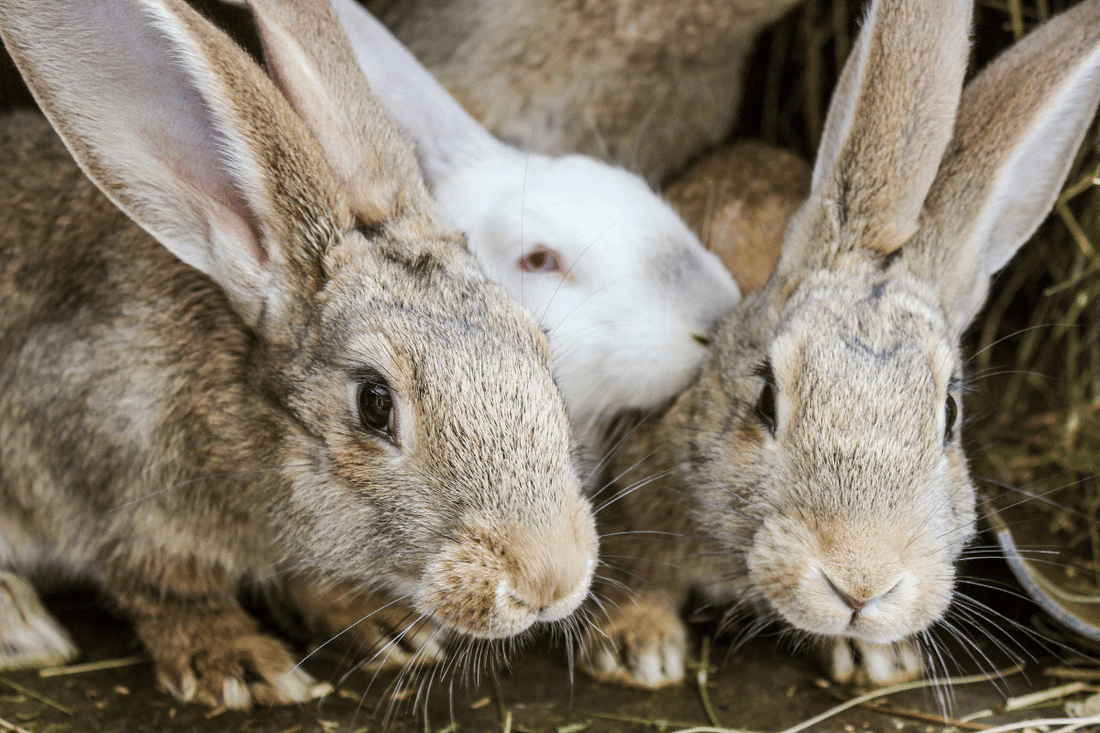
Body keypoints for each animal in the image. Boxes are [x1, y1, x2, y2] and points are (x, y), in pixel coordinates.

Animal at [0, 0, 598, 710]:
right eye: (374, 404)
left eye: (542, 351)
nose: (551, 582)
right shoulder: (106, 466)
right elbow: (166, 587)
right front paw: (236, 664)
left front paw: (390, 631)